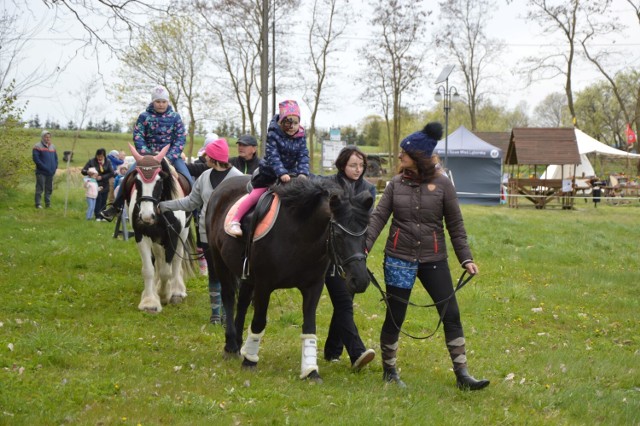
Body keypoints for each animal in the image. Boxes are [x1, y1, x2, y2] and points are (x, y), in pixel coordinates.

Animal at [208, 175, 372, 382]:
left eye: (365, 233)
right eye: (339, 235)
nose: (360, 280)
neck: (299, 235)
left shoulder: (313, 286)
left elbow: (309, 326)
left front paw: (311, 371)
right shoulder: (264, 285)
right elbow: (259, 321)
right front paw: (250, 362)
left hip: (247, 275)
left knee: (243, 302)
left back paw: (238, 343)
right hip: (219, 260)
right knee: (229, 297)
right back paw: (230, 345)